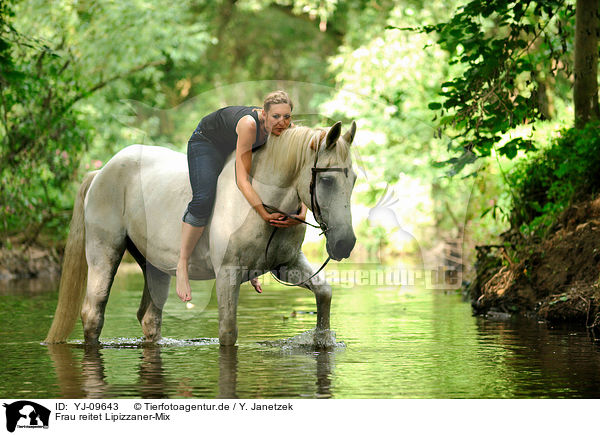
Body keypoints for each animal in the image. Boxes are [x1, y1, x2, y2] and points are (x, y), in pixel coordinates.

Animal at [47, 122, 358, 348]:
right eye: (327, 179)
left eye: (353, 179)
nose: (345, 243)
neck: (259, 201)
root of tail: (100, 172)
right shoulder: (227, 275)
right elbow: (228, 332)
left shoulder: (287, 265)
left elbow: (325, 293)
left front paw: (321, 339)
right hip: (104, 254)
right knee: (93, 313)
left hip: (154, 265)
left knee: (150, 318)